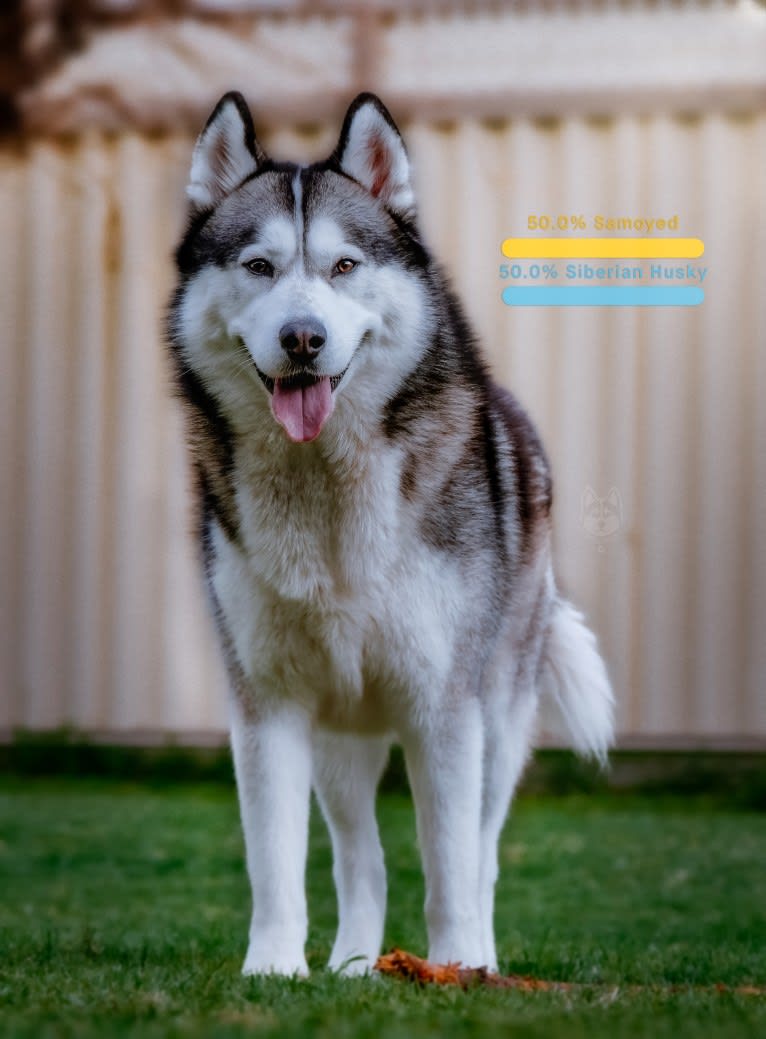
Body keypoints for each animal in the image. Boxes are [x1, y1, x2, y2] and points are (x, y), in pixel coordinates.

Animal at [167, 93, 615, 976]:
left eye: (344, 266)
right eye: (259, 267)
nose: (303, 338)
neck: (327, 494)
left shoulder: (445, 707)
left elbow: (449, 863)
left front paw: (456, 968)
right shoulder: (269, 701)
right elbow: (275, 859)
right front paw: (273, 969)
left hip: (498, 716)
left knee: (483, 852)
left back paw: (478, 957)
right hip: (341, 736)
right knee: (360, 858)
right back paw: (351, 966)